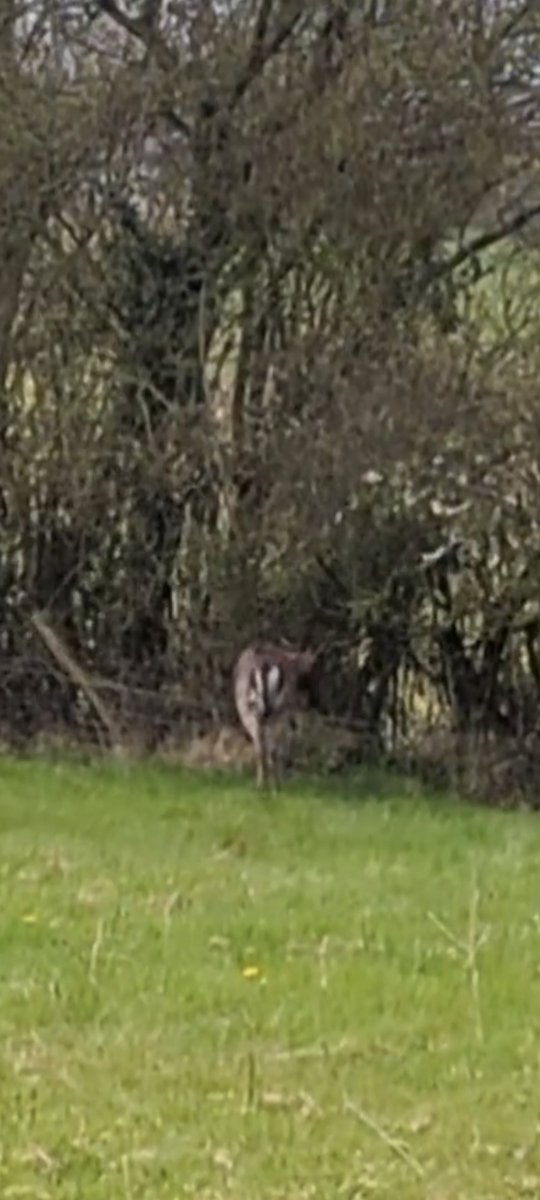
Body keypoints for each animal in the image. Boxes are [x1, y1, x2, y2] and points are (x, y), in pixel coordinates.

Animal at [231, 643, 316, 792]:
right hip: (276, 712)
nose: (309, 701)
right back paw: (273, 785)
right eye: (306, 675)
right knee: (271, 749)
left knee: (264, 749)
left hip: (255, 712)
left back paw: (265, 785)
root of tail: (265, 666)